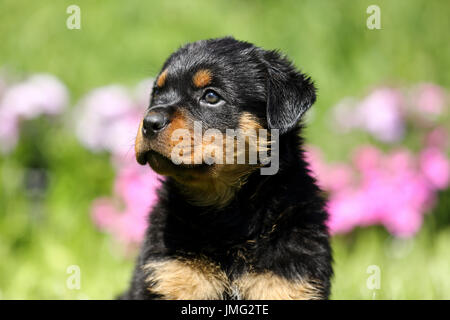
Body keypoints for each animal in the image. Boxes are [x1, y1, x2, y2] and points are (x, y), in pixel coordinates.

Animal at [121, 37, 332, 300]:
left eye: (211, 96)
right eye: (157, 93)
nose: (149, 122)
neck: (227, 218)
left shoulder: (288, 281)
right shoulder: (171, 274)